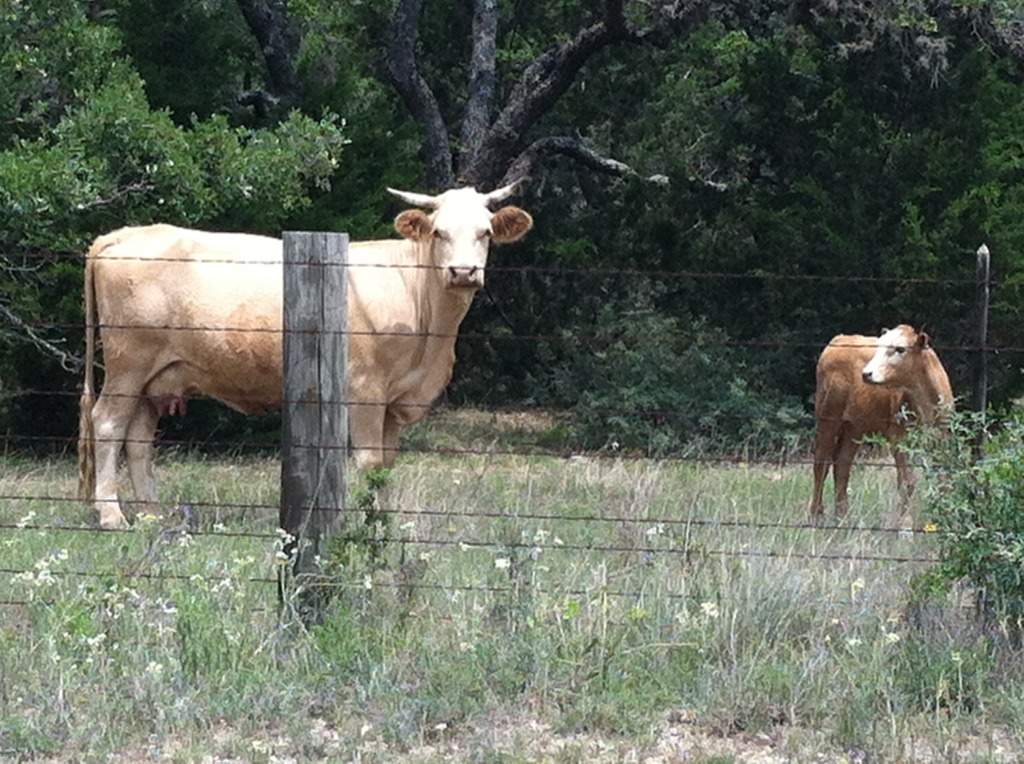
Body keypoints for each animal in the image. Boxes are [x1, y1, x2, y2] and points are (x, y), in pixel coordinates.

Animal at [77, 185, 533, 529]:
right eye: (439, 233)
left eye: (485, 233)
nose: (463, 272)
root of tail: (125, 234)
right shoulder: (363, 391)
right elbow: (369, 461)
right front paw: (361, 522)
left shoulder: (394, 399)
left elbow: (385, 465)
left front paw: (381, 522)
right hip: (127, 363)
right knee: (108, 424)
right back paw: (112, 515)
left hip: (155, 376)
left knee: (137, 439)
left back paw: (153, 515)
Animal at [809, 325, 953, 519]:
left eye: (900, 349)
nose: (866, 373)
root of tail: (840, 339)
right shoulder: (899, 438)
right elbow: (906, 483)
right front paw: (903, 524)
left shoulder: (942, 438)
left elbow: (944, 480)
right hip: (828, 417)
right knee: (821, 464)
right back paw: (817, 515)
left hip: (854, 427)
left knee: (842, 463)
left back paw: (843, 516)